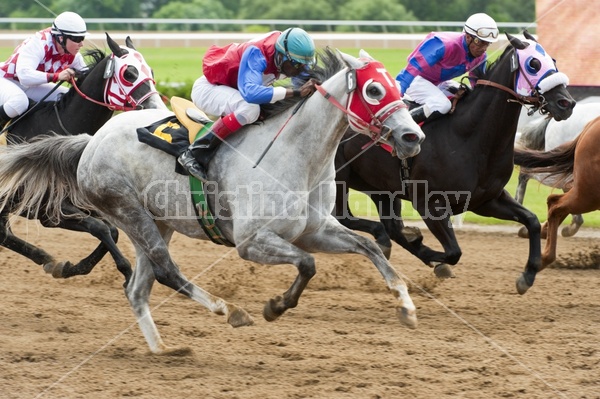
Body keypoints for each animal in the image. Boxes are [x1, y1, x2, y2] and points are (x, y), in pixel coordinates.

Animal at [0, 33, 165, 284]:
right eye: (129, 74)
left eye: (151, 71)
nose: (155, 107)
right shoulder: (45, 210)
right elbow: (101, 228)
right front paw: (125, 272)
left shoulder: (85, 202)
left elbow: (112, 230)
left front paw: (70, 267)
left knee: (3, 233)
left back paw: (46, 259)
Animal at [336, 32, 576, 294]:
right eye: (534, 63)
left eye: (554, 60)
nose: (566, 103)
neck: (470, 136)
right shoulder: (429, 204)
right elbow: (453, 252)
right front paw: (431, 255)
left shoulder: (486, 199)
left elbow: (531, 220)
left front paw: (528, 275)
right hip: (339, 180)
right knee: (345, 218)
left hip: (379, 187)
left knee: (390, 227)